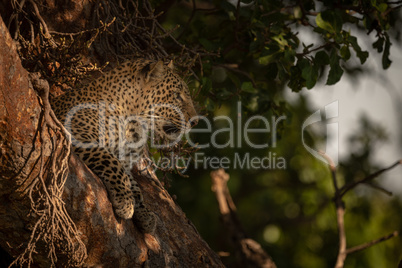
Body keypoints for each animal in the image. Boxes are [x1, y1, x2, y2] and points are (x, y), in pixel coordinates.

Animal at [51, 58, 199, 232]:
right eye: (177, 95)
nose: (195, 121)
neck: (133, 124)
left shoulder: (125, 160)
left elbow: (134, 184)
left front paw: (144, 213)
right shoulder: (76, 135)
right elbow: (112, 164)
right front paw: (126, 202)